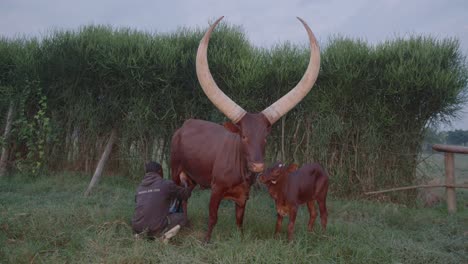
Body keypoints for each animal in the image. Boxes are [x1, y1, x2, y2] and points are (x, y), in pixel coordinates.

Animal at [170, 16, 320, 243]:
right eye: (243, 136)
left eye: (266, 136)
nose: (258, 166)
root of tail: (183, 127)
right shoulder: (216, 189)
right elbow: (212, 216)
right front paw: (206, 240)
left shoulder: (243, 195)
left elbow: (240, 218)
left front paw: (240, 238)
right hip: (174, 169)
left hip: (192, 177)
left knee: (185, 197)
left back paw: (185, 222)